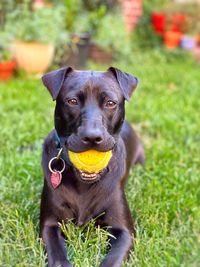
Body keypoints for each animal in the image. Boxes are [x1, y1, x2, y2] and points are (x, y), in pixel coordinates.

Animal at [40, 67, 144, 267]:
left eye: (110, 103)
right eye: (72, 101)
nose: (92, 137)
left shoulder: (125, 231)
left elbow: (112, 260)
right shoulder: (49, 224)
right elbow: (58, 257)